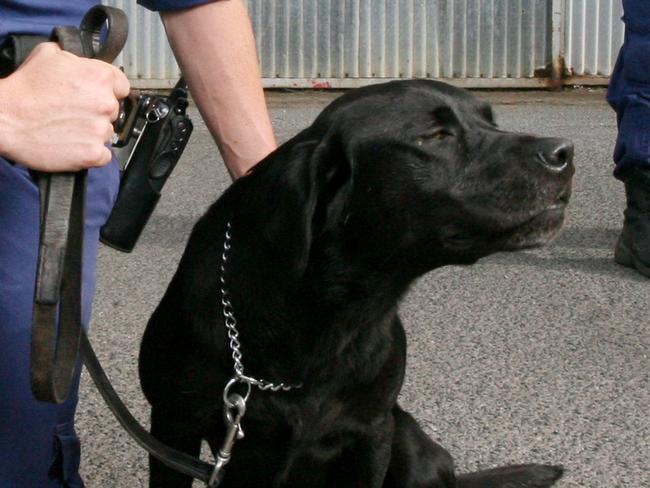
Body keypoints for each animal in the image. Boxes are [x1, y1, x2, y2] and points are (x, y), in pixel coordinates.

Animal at [140, 78, 572, 486]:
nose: (564, 153)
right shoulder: (172, 429)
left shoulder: (371, 434)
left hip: (409, 440)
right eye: (435, 135)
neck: (334, 315)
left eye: (491, 121)